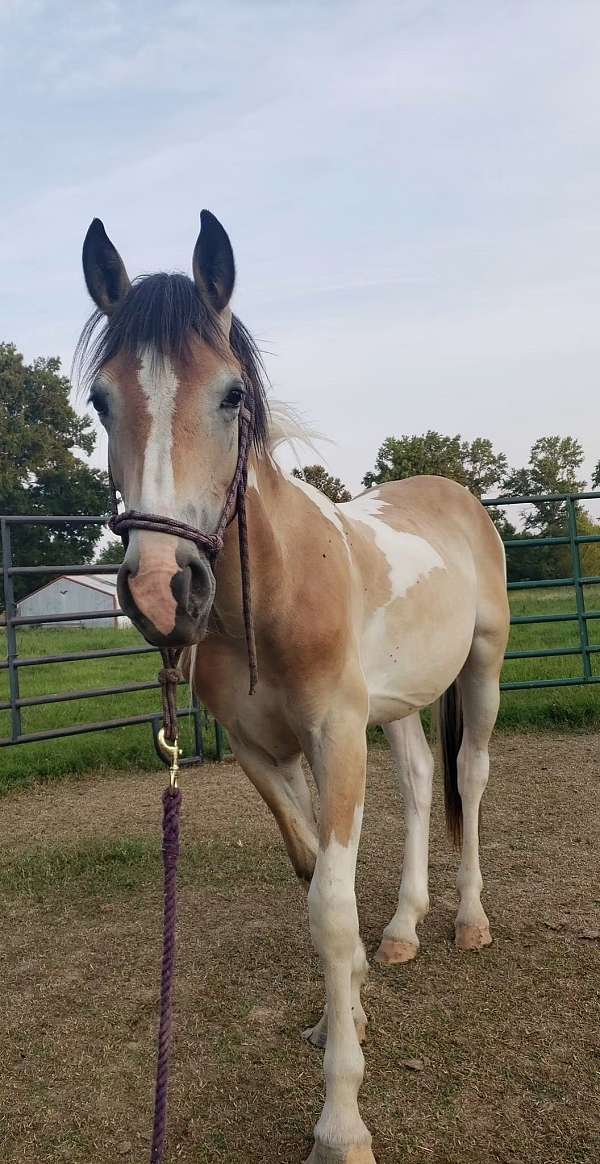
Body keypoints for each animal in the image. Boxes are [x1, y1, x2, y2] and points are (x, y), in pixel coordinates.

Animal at [78, 210, 510, 1163]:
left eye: (233, 395)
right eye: (99, 401)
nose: (162, 590)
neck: (271, 590)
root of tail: (456, 495)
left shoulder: (334, 736)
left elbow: (330, 908)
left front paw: (341, 1120)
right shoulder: (263, 752)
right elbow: (315, 875)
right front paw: (341, 1009)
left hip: (482, 671)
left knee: (467, 780)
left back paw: (468, 922)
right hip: (396, 708)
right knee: (419, 783)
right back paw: (404, 931)